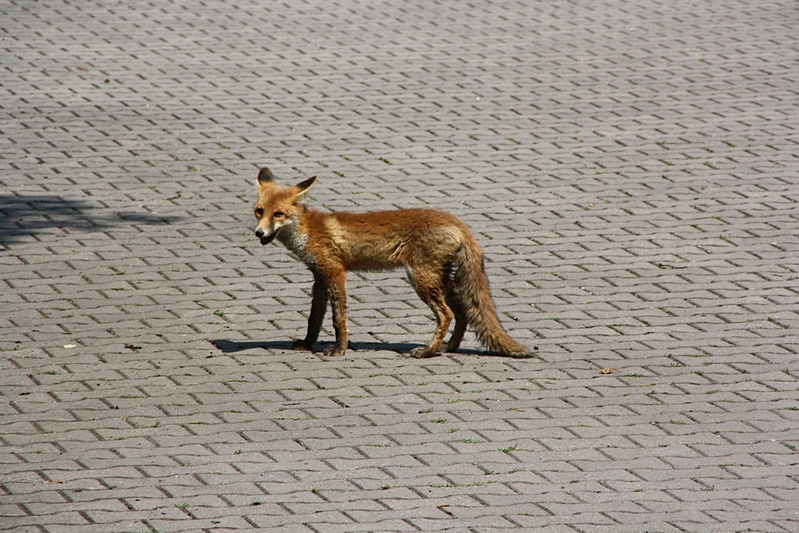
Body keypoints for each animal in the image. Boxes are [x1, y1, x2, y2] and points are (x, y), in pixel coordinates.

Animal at [253, 167, 530, 359]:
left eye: (278, 214)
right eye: (259, 211)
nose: (258, 232)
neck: (308, 230)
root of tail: (457, 222)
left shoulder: (335, 272)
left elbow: (338, 318)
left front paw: (340, 349)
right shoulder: (320, 277)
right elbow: (315, 318)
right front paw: (307, 344)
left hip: (421, 279)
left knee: (447, 314)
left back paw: (428, 351)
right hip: (441, 281)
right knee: (463, 313)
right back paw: (449, 347)